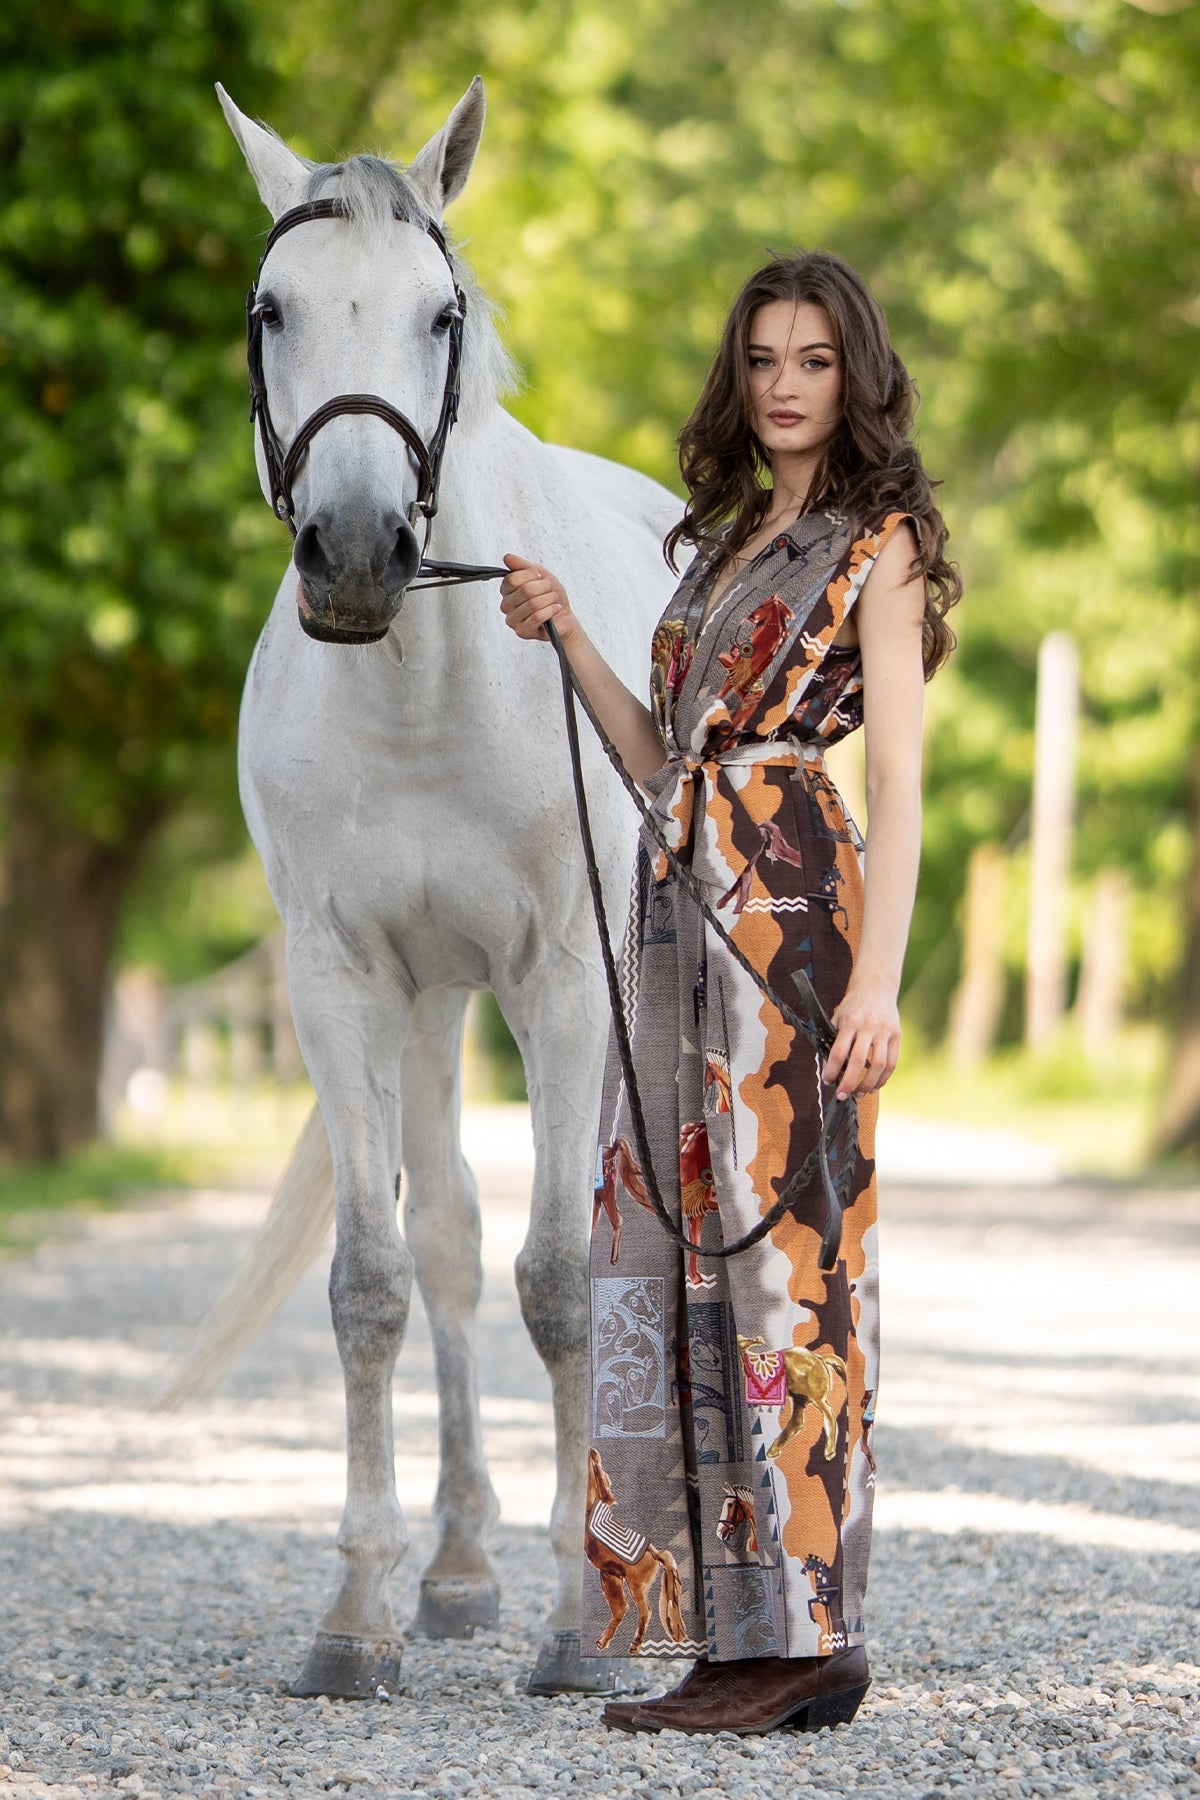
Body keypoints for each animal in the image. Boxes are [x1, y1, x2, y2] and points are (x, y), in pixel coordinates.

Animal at [585, 1449, 686, 1655]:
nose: (594, 1451)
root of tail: (655, 1553)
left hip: (633, 1585)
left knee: (643, 1611)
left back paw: (634, 1644)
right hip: (611, 1577)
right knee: (621, 1608)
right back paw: (604, 1641)